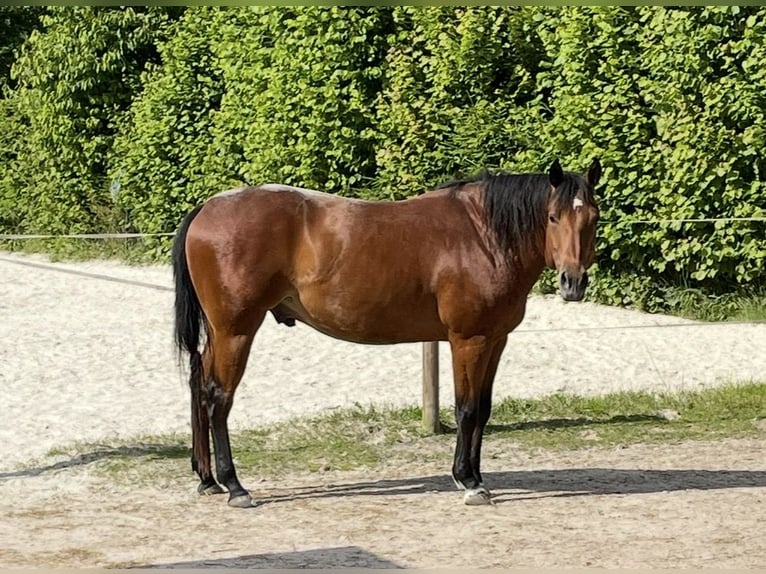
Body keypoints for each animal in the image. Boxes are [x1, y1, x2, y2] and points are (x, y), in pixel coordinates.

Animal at [172, 158, 602, 507]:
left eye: (593, 218)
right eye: (552, 217)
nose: (573, 282)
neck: (484, 236)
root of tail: (208, 208)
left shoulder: (496, 340)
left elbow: (483, 409)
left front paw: (477, 476)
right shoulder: (468, 341)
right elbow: (465, 409)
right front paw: (468, 481)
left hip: (221, 333)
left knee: (199, 384)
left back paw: (208, 479)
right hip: (236, 331)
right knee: (218, 397)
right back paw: (234, 486)